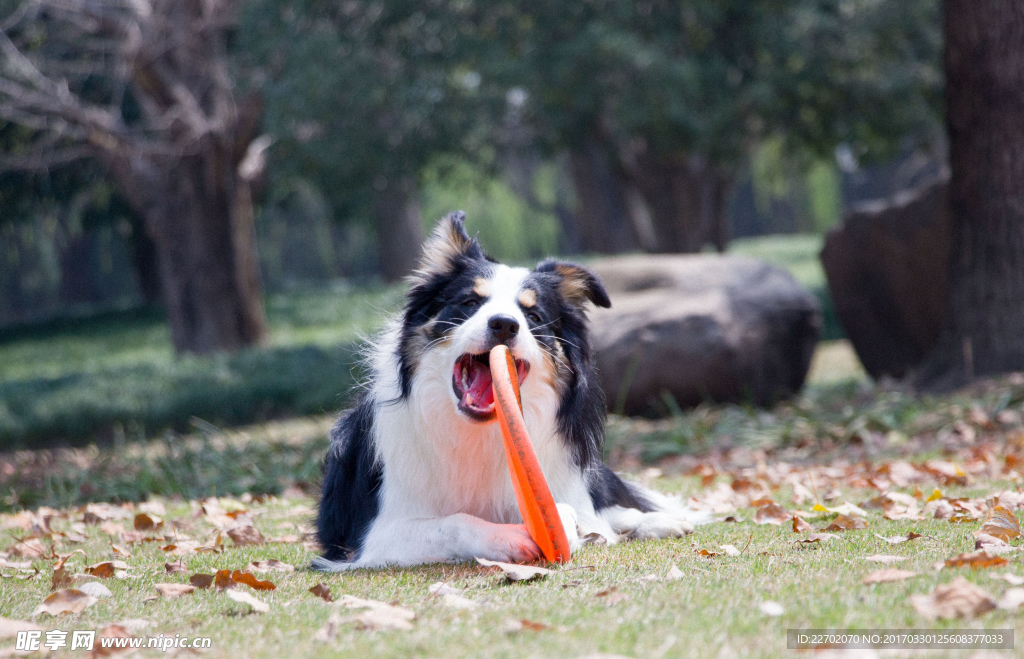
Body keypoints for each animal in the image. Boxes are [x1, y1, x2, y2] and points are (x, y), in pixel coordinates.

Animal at [313, 212, 704, 573]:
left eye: (532, 316)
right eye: (470, 303)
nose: (503, 324)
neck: (481, 433)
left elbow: (572, 511)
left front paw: (573, 528)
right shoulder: (376, 535)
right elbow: (454, 521)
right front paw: (506, 538)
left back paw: (659, 521)